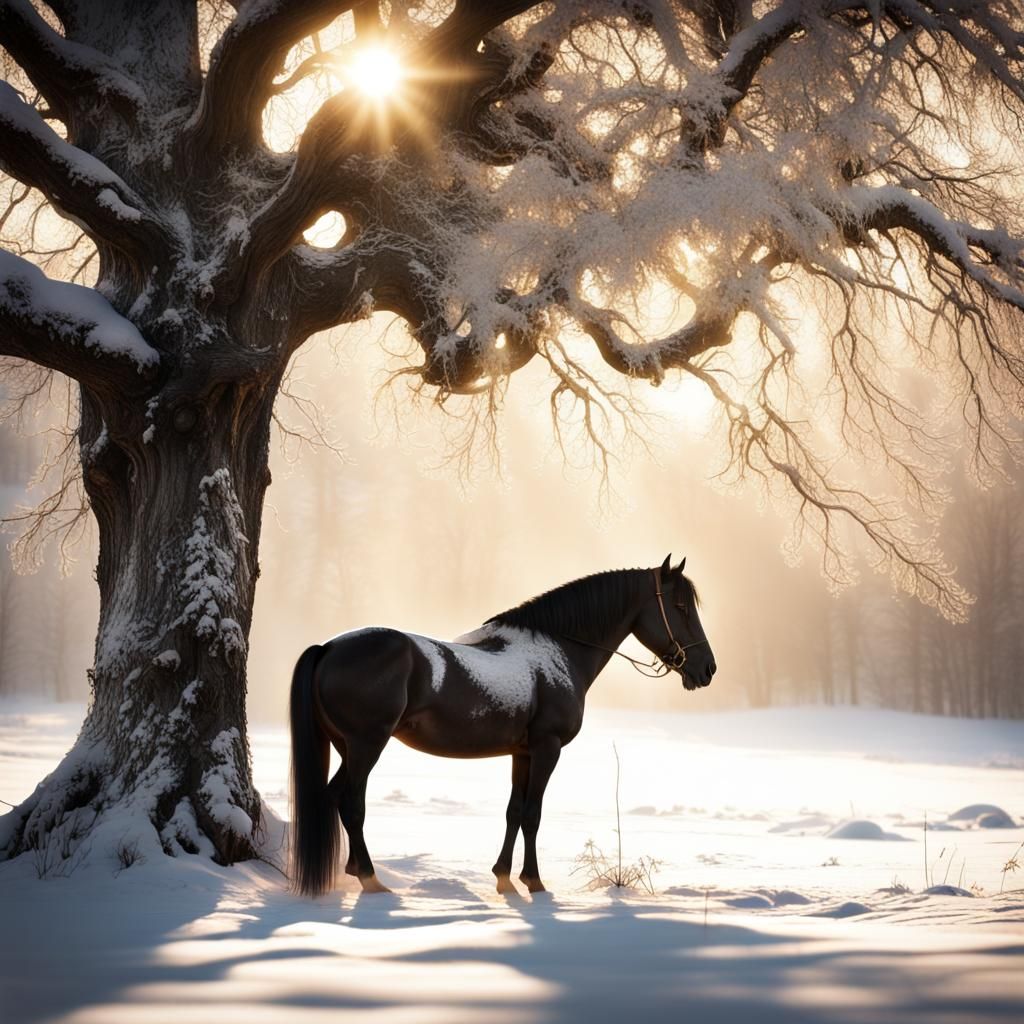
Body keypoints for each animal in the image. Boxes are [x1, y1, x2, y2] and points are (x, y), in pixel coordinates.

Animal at [288, 554, 716, 897]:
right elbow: (532, 814)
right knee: (350, 802)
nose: (707, 668)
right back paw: (370, 878)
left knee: (333, 797)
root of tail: (328, 648)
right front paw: (534, 882)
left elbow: (513, 812)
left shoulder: (521, 753)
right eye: (680, 606)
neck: (556, 650)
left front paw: (504, 877)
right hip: (367, 745)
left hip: (347, 747)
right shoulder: (547, 748)